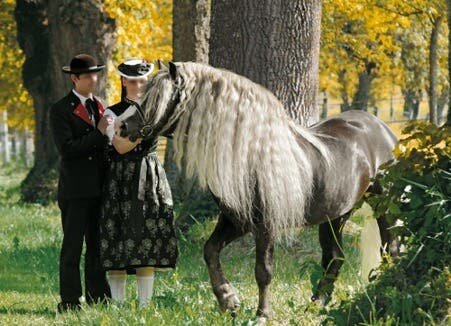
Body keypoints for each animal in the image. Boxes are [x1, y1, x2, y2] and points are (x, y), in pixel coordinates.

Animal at [115, 61, 400, 320]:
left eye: (156, 99)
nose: (121, 126)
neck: (250, 155)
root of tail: (382, 128)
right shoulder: (236, 220)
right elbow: (210, 250)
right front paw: (228, 300)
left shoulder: (266, 224)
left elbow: (263, 270)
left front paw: (262, 314)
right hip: (336, 215)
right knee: (335, 257)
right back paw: (316, 305)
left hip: (383, 206)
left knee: (389, 249)